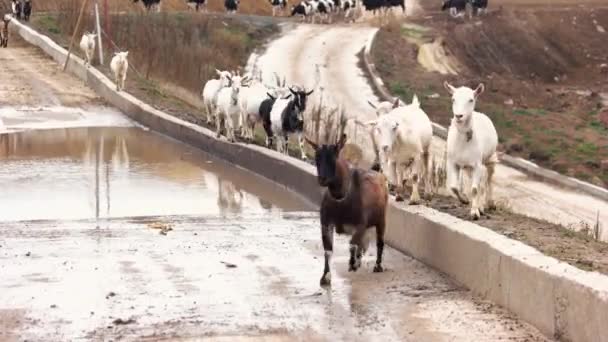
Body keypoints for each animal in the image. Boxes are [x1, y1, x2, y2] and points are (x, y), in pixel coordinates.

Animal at [306, 134, 388, 286]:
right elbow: (328, 250)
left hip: (381, 219)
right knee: (364, 242)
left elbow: (352, 244)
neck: (341, 199)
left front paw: (353, 264)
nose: (322, 179)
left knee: (379, 242)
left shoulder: (360, 224)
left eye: (334, 157)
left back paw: (377, 266)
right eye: (317, 157)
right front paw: (325, 277)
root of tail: (377, 172)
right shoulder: (326, 223)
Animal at [444, 81, 496, 219]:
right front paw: (464, 200)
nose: (458, 116)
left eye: (471, 100)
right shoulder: (453, 162)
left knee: (488, 180)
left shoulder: (477, 164)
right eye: (453, 99)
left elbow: (475, 189)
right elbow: (454, 187)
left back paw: (489, 204)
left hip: (490, 159)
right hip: (468, 168)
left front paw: (475, 212)